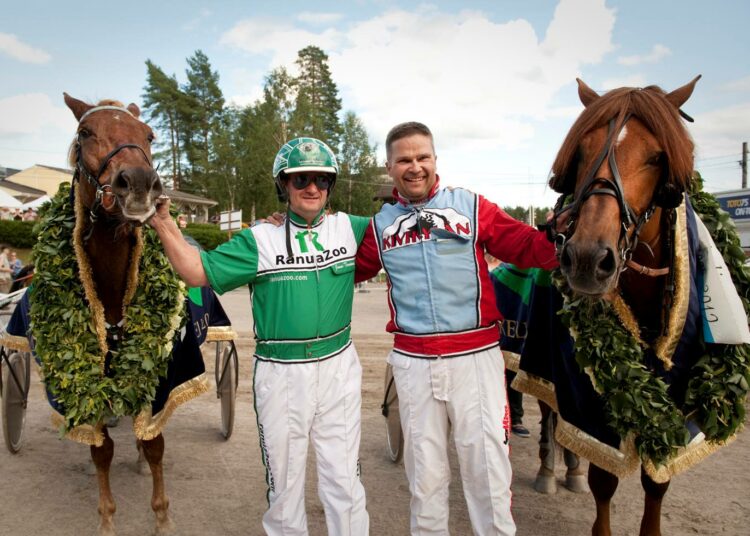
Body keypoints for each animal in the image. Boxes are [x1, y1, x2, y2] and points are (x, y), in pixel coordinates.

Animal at [548, 76, 704, 536]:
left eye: (656, 157)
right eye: (583, 150)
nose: (585, 257)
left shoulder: (676, 391)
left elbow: (658, 477)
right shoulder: (589, 390)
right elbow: (604, 477)